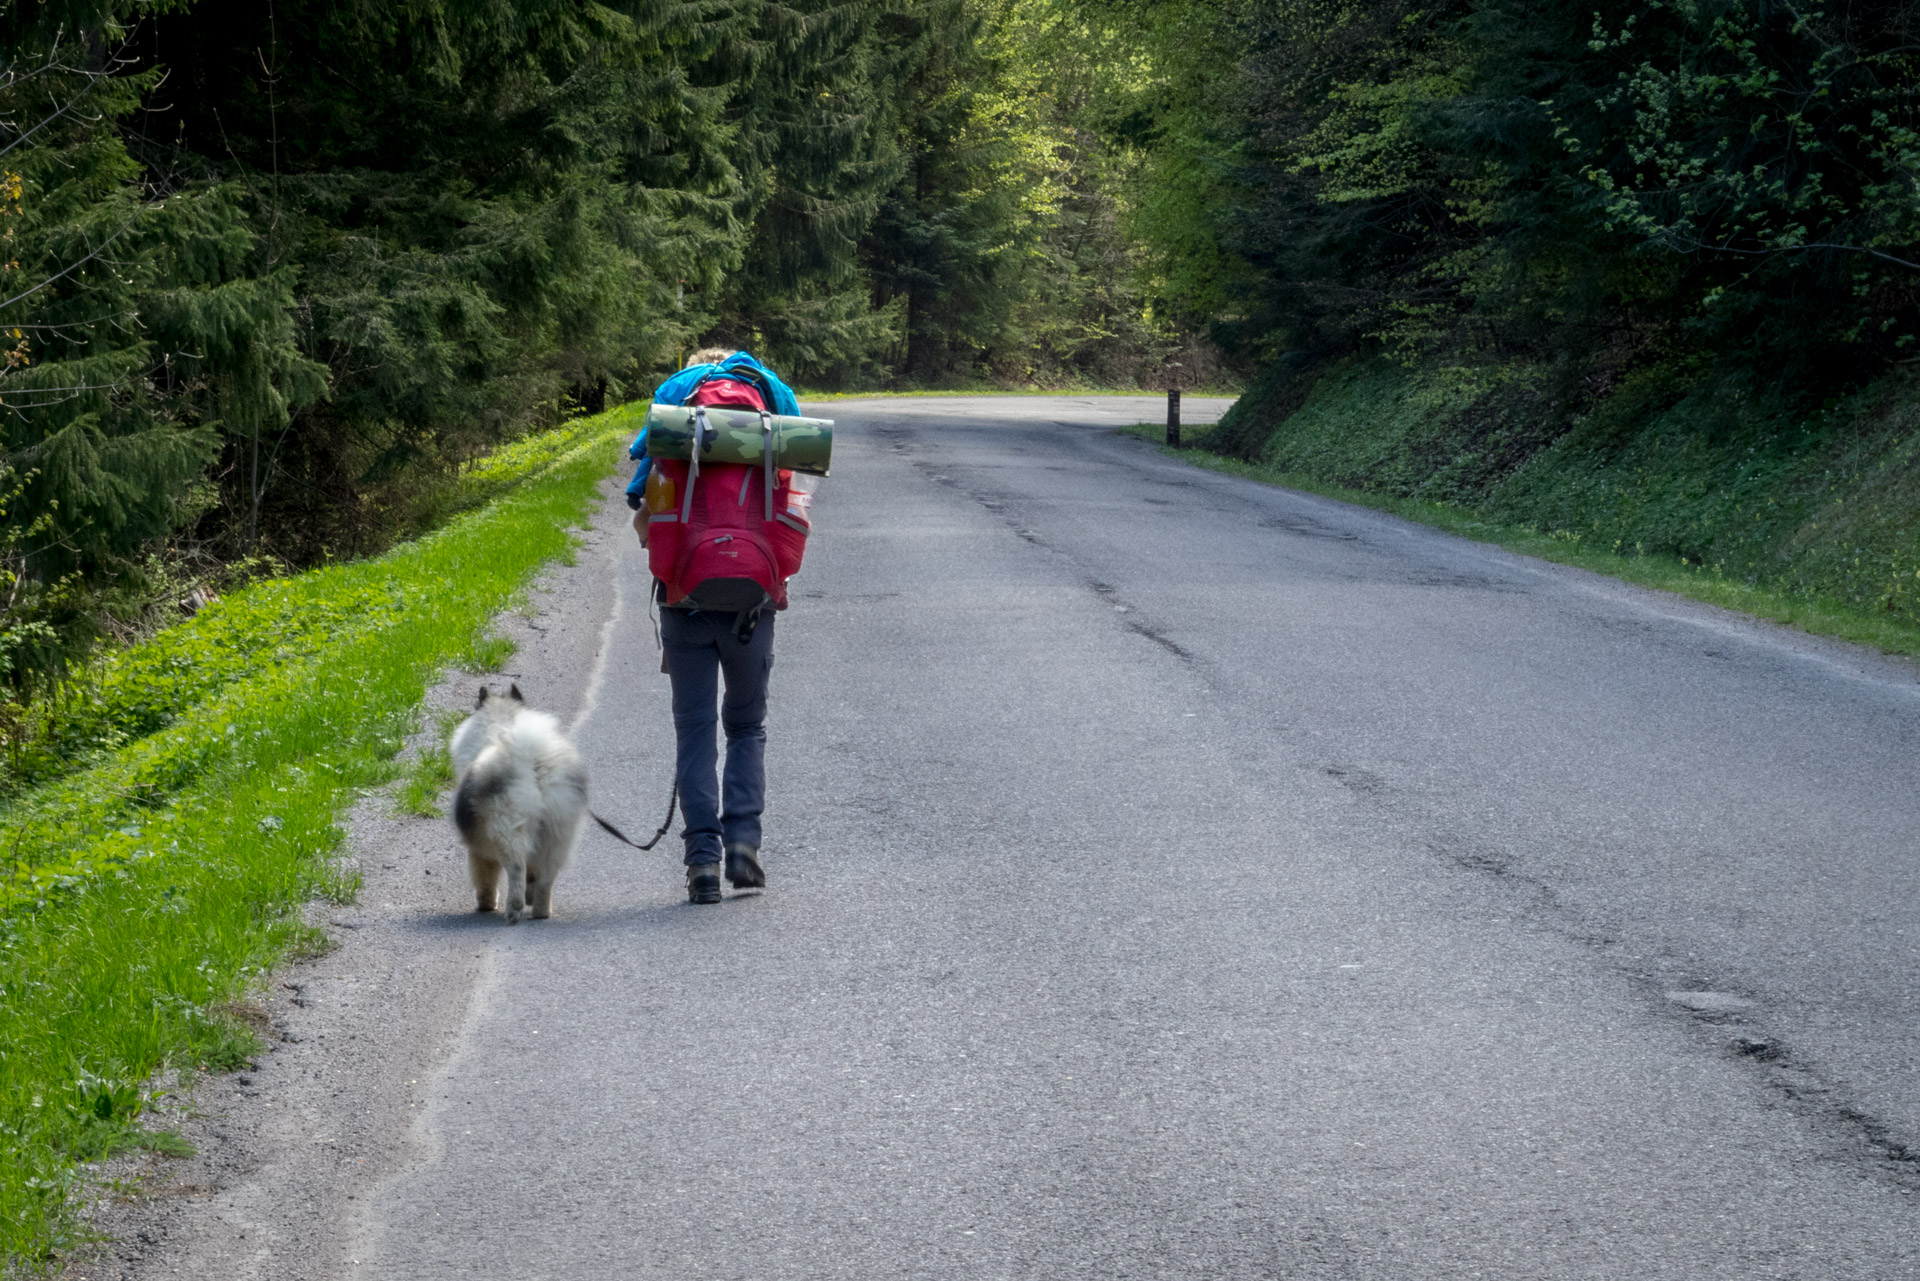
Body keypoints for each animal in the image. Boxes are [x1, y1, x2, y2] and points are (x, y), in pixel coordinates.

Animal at [447, 687, 583, 925]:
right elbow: (533, 875)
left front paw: (486, 904)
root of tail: (533, 763)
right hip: (557, 834)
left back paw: (514, 911)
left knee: (516, 870)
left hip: (508, 833)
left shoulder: (477, 850)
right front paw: (530, 897)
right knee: (545, 878)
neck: (498, 728)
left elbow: (485, 879)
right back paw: (540, 911)